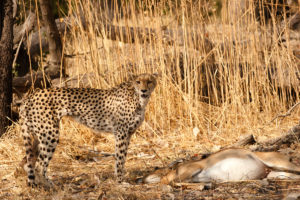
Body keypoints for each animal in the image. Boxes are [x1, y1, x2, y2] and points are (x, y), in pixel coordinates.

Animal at [19, 73, 158, 188]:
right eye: (138, 82)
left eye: (149, 81)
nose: (144, 90)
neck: (138, 98)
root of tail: (31, 95)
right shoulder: (121, 133)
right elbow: (119, 158)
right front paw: (120, 181)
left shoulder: (128, 134)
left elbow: (123, 158)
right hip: (49, 134)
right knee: (39, 165)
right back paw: (50, 186)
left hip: (40, 134)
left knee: (28, 162)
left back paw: (34, 184)